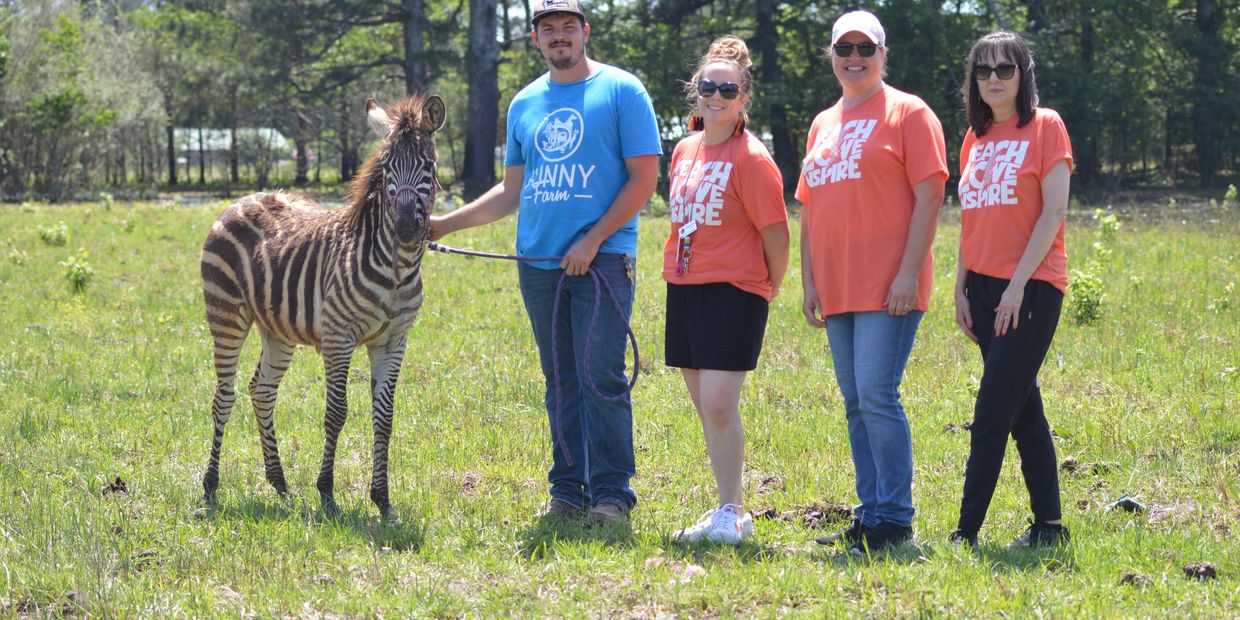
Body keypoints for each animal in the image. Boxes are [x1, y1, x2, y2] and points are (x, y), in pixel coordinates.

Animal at [195, 93, 443, 518]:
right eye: (386, 168)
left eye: (427, 164)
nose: (407, 227)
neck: (397, 268)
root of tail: (246, 197)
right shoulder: (338, 337)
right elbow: (337, 412)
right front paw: (326, 492)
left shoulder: (393, 341)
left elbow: (385, 418)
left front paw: (383, 500)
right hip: (225, 314)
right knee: (223, 396)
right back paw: (211, 485)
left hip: (276, 329)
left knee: (261, 390)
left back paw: (278, 482)